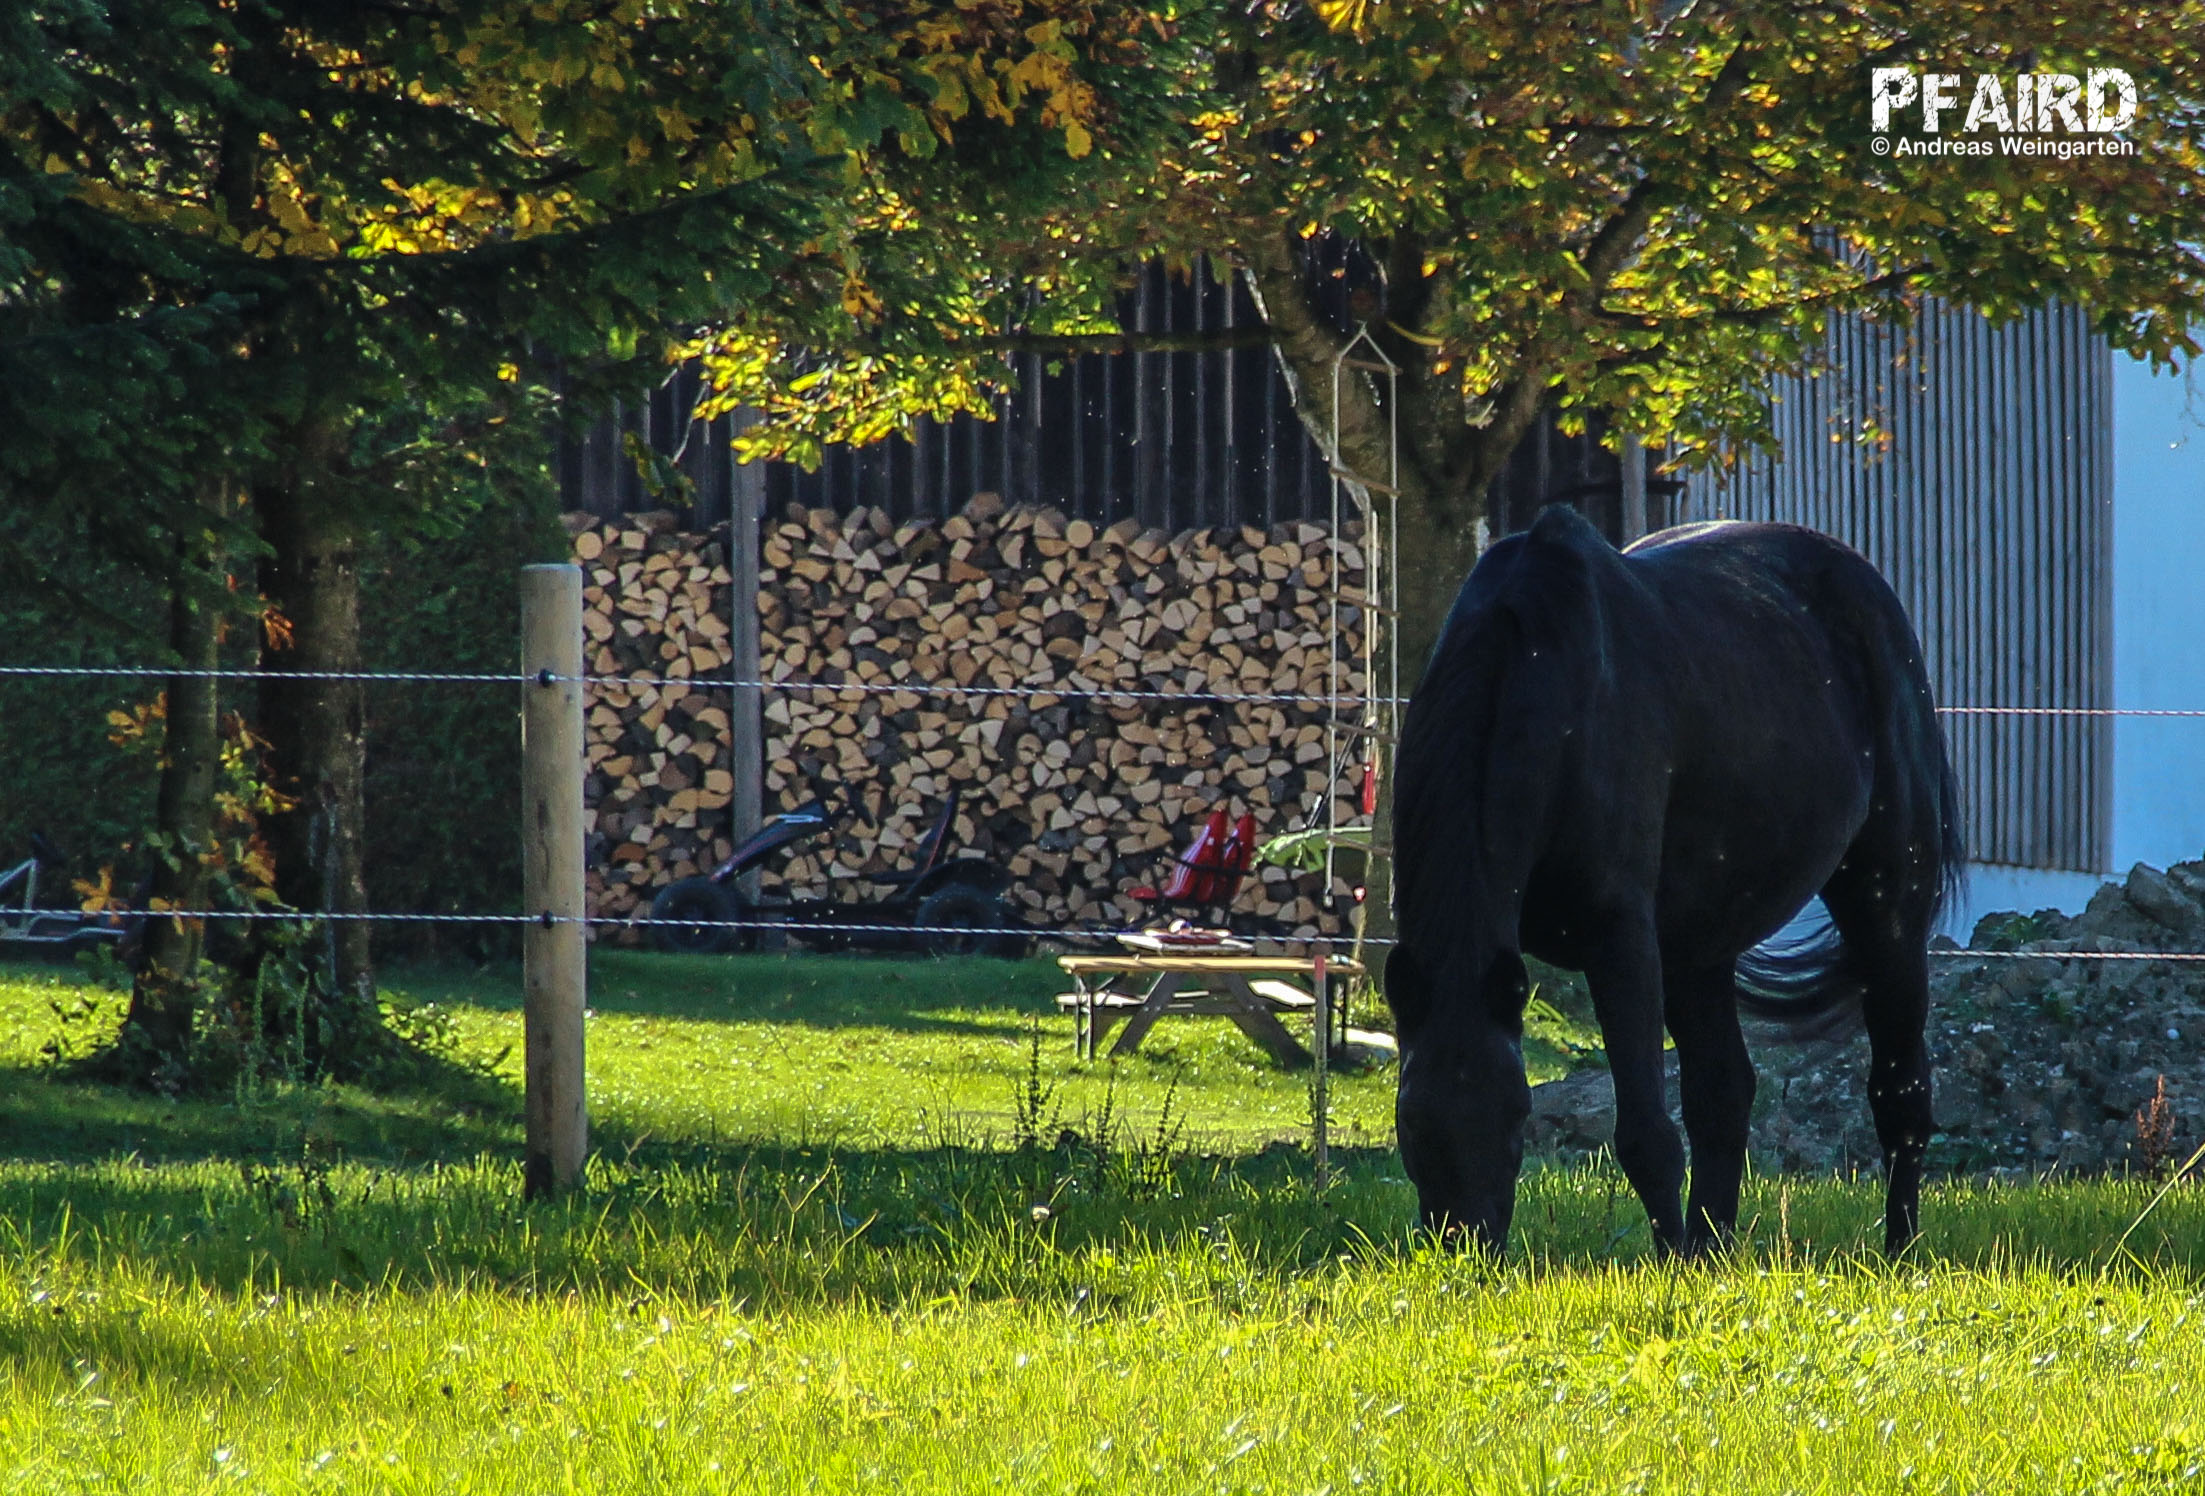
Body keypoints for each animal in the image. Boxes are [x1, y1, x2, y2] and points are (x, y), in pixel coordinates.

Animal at [1384, 504, 1962, 1257]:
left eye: (1515, 1116)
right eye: (1410, 1121)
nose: (1463, 1247)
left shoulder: (1619, 938)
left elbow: (1646, 1135)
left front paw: (1664, 1269)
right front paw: (1681, 1260)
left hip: (1885, 902)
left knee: (1900, 1092)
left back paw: (1898, 1252)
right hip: (1700, 943)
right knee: (1724, 1092)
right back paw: (1710, 1253)